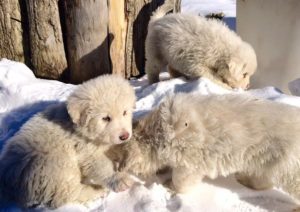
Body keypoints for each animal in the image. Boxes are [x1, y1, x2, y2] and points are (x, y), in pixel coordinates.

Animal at [0, 74, 136, 209]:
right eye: (106, 118)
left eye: (124, 112)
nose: (124, 136)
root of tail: (8, 181)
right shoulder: (86, 151)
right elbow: (102, 166)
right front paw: (120, 180)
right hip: (55, 166)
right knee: (68, 193)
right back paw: (97, 190)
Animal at [111, 94, 300, 204]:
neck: (157, 131)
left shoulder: (188, 159)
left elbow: (181, 180)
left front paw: (170, 186)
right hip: (267, 160)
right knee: (264, 179)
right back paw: (245, 180)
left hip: (290, 169)